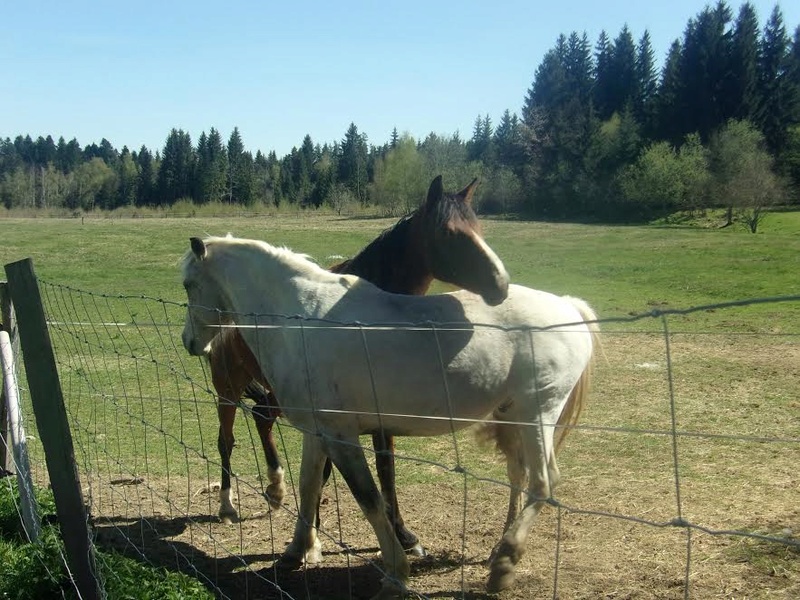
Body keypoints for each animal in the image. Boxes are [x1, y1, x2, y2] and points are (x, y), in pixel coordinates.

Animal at [180, 236, 592, 600]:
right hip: (513, 418)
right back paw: (499, 552)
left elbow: (369, 499)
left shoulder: (342, 436)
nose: (189, 342)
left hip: (537, 414)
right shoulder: (318, 433)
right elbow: (309, 487)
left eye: (187, 284)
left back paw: (504, 566)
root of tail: (569, 308)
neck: (300, 319)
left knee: (543, 482)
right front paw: (294, 553)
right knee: (518, 476)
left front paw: (396, 574)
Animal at [205, 176, 506, 556]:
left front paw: (404, 535)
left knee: (261, 418)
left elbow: (385, 468)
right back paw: (227, 506)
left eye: (478, 227)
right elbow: (329, 471)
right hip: (227, 391)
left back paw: (275, 490)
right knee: (226, 441)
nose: (501, 283)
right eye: (450, 232)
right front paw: (312, 534)